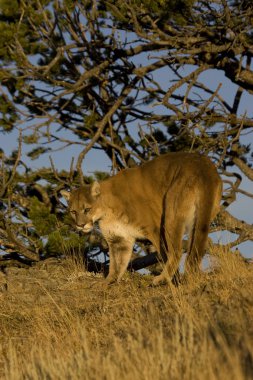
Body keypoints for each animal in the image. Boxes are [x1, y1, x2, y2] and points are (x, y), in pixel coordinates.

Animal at [61, 151, 221, 284]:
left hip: (171, 214)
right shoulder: (118, 238)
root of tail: (203, 166)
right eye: (73, 211)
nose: (80, 225)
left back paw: (162, 279)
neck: (107, 211)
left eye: (87, 209)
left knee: (176, 251)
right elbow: (117, 263)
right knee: (198, 246)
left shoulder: (155, 229)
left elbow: (164, 254)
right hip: (200, 219)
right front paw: (109, 281)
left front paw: (174, 279)